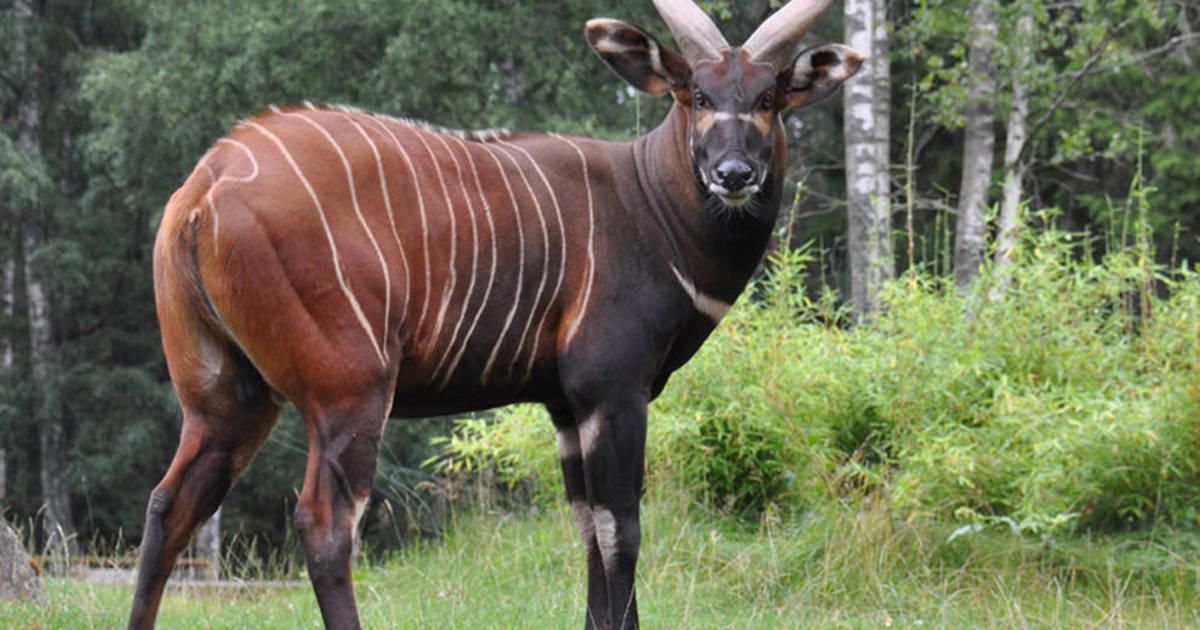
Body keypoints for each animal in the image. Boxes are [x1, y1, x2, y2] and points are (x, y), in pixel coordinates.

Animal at [129, 1, 864, 624]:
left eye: (767, 97)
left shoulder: (566, 405)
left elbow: (588, 528)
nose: (734, 173)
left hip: (227, 398)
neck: (648, 203)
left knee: (169, 506)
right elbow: (621, 528)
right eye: (699, 96)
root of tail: (208, 184)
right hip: (349, 390)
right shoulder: (613, 389)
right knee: (324, 523)